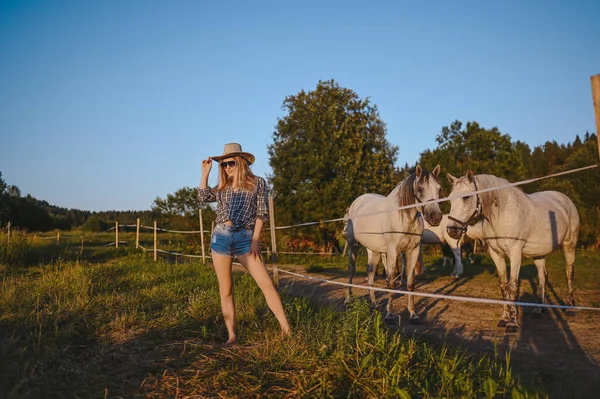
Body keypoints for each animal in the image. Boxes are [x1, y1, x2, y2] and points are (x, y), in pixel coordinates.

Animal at [344, 166, 442, 324]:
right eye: (420, 188)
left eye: (439, 188)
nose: (436, 217)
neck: (404, 217)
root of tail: (357, 202)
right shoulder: (392, 252)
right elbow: (391, 283)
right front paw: (389, 315)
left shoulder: (413, 251)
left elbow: (410, 283)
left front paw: (413, 314)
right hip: (353, 245)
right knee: (351, 270)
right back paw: (348, 299)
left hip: (374, 250)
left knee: (370, 275)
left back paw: (374, 304)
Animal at [446, 171, 580, 332]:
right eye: (449, 199)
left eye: (466, 197)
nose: (452, 230)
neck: (501, 214)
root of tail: (565, 200)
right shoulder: (496, 255)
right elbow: (503, 286)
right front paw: (504, 318)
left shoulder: (515, 254)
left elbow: (513, 286)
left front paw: (513, 323)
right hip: (539, 253)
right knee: (543, 277)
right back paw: (538, 310)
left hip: (569, 244)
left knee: (569, 273)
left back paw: (570, 308)